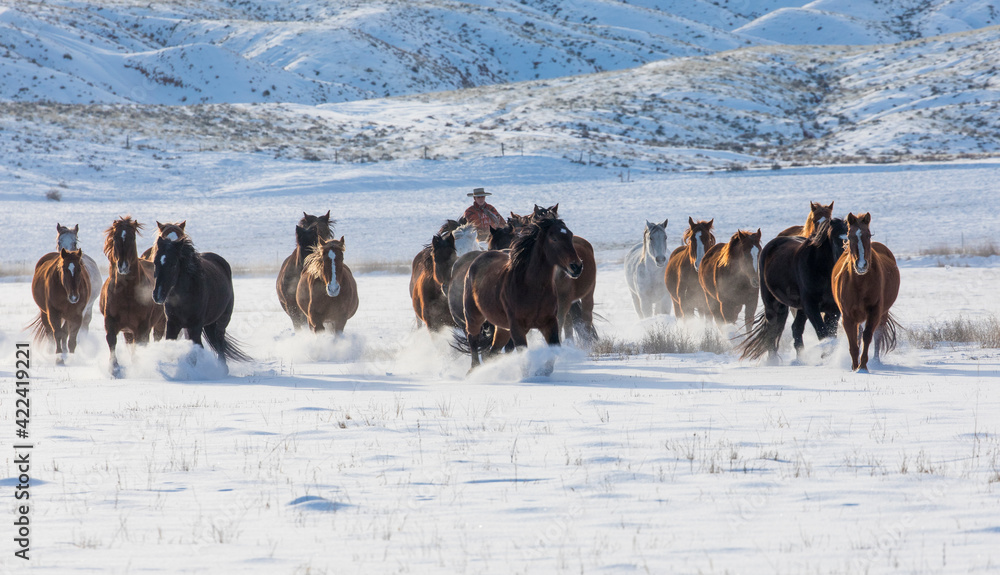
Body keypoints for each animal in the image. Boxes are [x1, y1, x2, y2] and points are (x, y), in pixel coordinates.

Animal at [100, 216, 166, 375]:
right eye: (115, 237)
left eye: (133, 237)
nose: (123, 266)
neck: (127, 294)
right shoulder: (110, 322)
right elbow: (112, 341)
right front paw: (114, 368)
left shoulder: (142, 327)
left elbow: (140, 346)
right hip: (128, 331)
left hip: (160, 323)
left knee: (155, 338)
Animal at [152, 233, 250, 371]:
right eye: (155, 262)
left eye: (174, 264)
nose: (158, 295)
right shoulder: (173, 323)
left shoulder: (195, 325)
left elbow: (195, 352)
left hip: (223, 319)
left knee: (219, 340)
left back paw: (223, 369)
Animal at [460, 217, 583, 374]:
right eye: (554, 238)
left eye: (570, 236)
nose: (577, 266)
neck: (530, 287)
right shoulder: (517, 327)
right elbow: (524, 357)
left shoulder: (549, 322)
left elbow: (554, 350)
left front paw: (542, 372)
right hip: (473, 316)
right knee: (473, 341)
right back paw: (473, 371)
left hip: (503, 329)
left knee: (492, 352)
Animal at [739, 218, 848, 362]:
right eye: (835, 239)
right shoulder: (811, 307)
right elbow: (822, 332)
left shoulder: (833, 309)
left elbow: (830, 334)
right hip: (773, 304)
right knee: (772, 330)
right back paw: (773, 361)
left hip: (800, 308)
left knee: (795, 328)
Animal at [832, 213, 901, 372]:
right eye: (849, 236)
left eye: (868, 235)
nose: (862, 265)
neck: (859, 284)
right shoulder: (847, 316)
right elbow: (853, 342)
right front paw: (854, 367)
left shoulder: (874, 312)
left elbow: (868, 336)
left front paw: (862, 367)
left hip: (883, 313)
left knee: (878, 335)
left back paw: (876, 361)